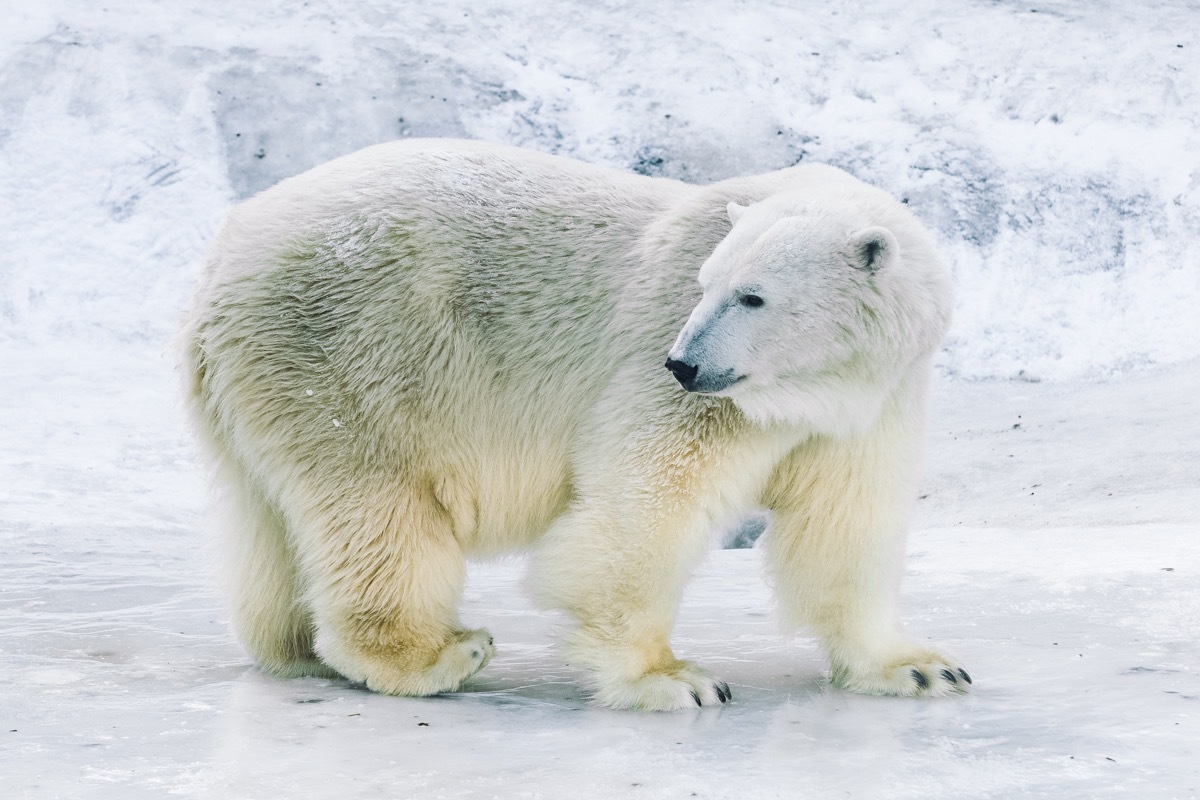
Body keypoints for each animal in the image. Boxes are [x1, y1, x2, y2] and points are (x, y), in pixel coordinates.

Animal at [180, 139, 964, 714]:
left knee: (273, 517)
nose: (683, 363)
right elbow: (646, 499)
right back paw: (436, 653)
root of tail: (222, 253)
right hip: (352, 352)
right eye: (705, 285)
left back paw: (296, 646)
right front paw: (671, 678)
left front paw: (920, 667)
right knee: (380, 508)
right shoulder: (679, 380)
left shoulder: (873, 402)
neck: (811, 387)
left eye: (753, 296)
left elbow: (846, 524)